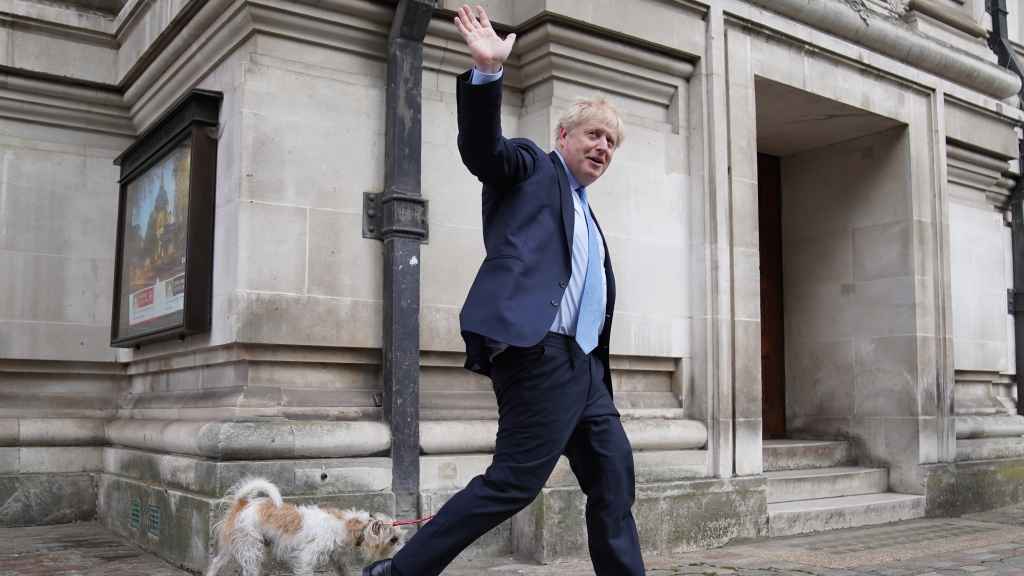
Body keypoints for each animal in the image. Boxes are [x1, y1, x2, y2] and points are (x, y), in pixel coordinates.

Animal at [203, 475, 403, 573]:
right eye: (393, 540)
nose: (402, 551)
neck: (347, 525)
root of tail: (243, 502)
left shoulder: (339, 560)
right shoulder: (306, 559)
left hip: (232, 546)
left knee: (215, 564)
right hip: (251, 549)